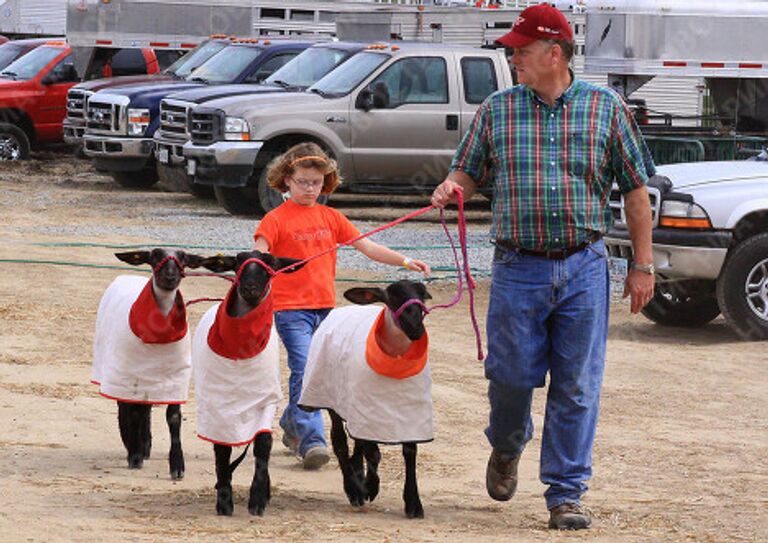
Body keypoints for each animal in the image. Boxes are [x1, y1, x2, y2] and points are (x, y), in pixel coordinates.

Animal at [91, 249, 206, 478]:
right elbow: (133, 412)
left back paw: (145, 445)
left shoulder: (176, 378)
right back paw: (133, 445)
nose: (170, 276)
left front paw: (177, 466)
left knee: (144, 409)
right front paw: (134, 456)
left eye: (183, 257)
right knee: (127, 408)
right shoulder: (131, 374)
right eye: (154, 255)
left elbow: (173, 418)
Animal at [190, 251, 302, 520]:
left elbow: (263, 445)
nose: (250, 286)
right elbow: (221, 452)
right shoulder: (216, 409)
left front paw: (258, 500)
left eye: (271, 263)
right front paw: (224, 501)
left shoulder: (265, 402)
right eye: (238, 262)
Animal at [298, 280, 432, 520]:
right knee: (340, 441)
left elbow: (409, 452)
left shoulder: (408, 413)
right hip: (334, 399)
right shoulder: (366, 408)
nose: (416, 328)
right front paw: (369, 487)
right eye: (391, 298)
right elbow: (373, 453)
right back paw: (354, 489)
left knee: (357, 440)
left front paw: (413, 503)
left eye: (423, 295)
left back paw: (357, 473)